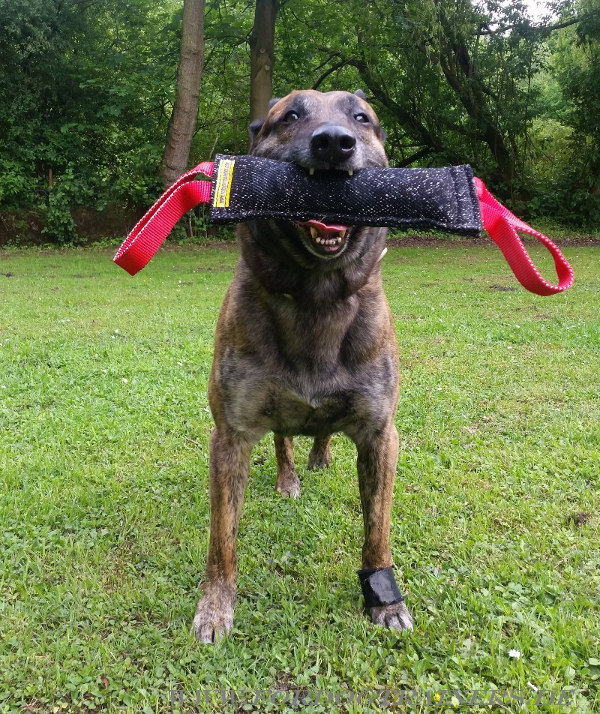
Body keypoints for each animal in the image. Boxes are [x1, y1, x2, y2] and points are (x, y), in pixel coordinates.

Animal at [191, 89, 412, 640]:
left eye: (362, 117)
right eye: (290, 116)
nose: (334, 142)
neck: (317, 295)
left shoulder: (381, 434)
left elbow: (377, 526)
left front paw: (384, 598)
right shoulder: (231, 432)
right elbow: (222, 536)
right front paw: (215, 605)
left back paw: (320, 455)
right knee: (284, 439)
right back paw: (290, 476)